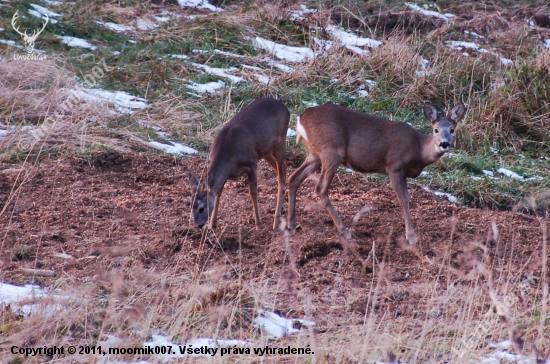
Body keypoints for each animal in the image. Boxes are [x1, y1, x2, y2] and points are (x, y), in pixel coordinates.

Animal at [190, 97, 292, 230]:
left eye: (201, 208)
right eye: (191, 206)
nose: (199, 225)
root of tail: (285, 108)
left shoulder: (252, 163)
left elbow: (253, 193)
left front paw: (259, 224)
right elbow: (218, 194)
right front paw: (212, 224)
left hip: (280, 141)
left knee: (281, 176)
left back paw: (276, 220)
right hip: (265, 150)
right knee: (283, 169)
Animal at [288, 101, 466, 245]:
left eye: (452, 129)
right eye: (436, 130)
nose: (444, 143)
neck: (419, 148)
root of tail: (300, 120)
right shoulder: (394, 166)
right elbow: (404, 199)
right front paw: (411, 237)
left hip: (314, 154)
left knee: (293, 178)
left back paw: (290, 225)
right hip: (332, 151)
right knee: (320, 188)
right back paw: (345, 232)